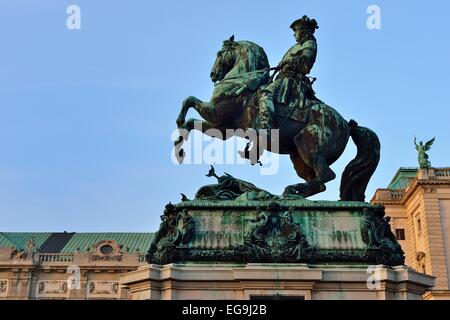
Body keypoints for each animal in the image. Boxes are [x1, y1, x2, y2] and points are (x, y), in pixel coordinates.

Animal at [176, 36, 380, 201]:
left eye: (219, 53)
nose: (213, 75)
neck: (240, 81)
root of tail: (346, 124)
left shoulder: (217, 115)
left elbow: (189, 100)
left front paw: (178, 129)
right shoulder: (221, 127)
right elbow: (190, 121)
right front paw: (179, 143)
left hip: (309, 147)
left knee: (326, 175)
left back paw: (291, 190)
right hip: (298, 157)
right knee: (319, 182)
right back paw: (289, 193)